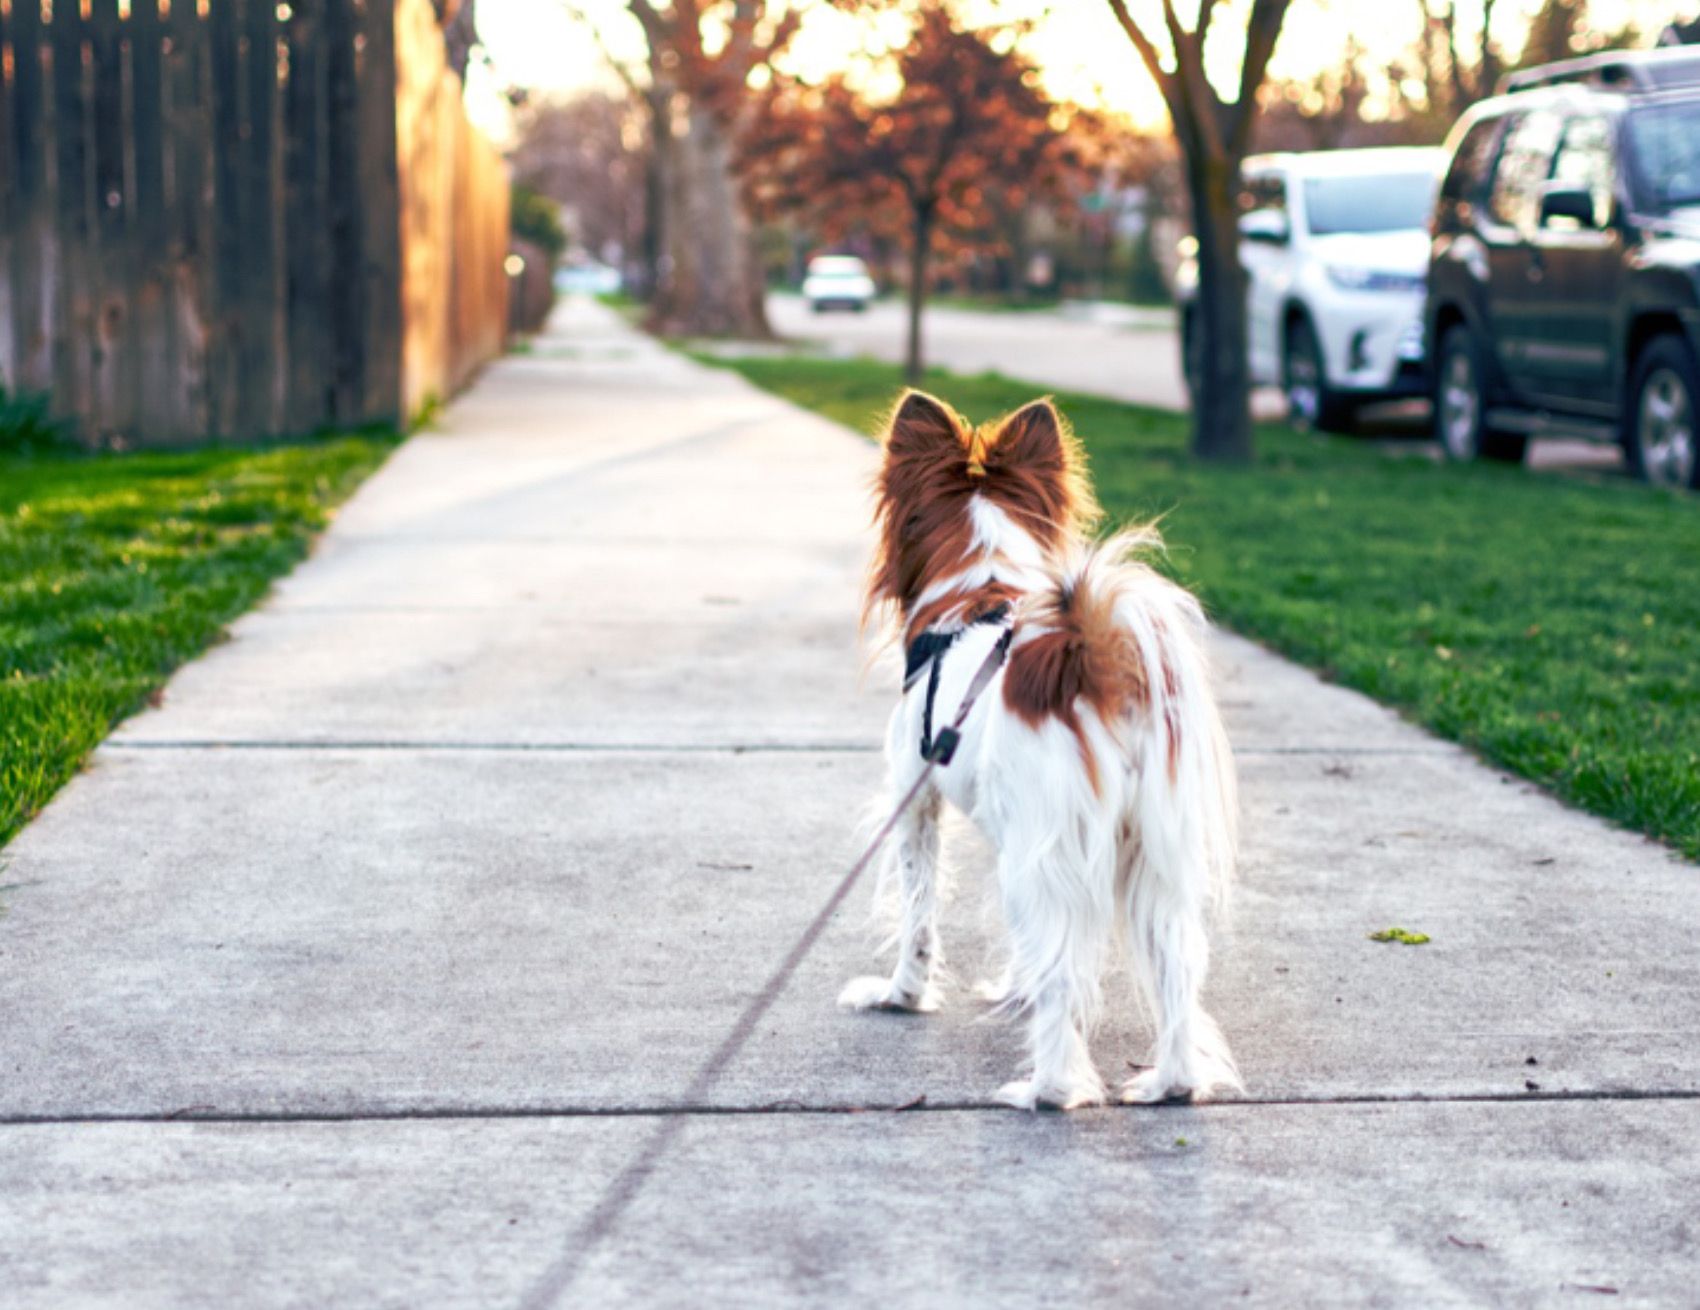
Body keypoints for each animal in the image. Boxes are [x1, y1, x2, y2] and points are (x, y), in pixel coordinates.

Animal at [843, 392, 1244, 1114]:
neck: (980, 587)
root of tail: (1091, 657)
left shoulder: (916, 802)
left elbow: (919, 915)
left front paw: (901, 996)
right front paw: (1012, 987)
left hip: (1053, 846)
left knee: (1064, 975)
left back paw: (1048, 1090)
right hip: (1151, 855)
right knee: (1176, 967)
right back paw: (1169, 1084)